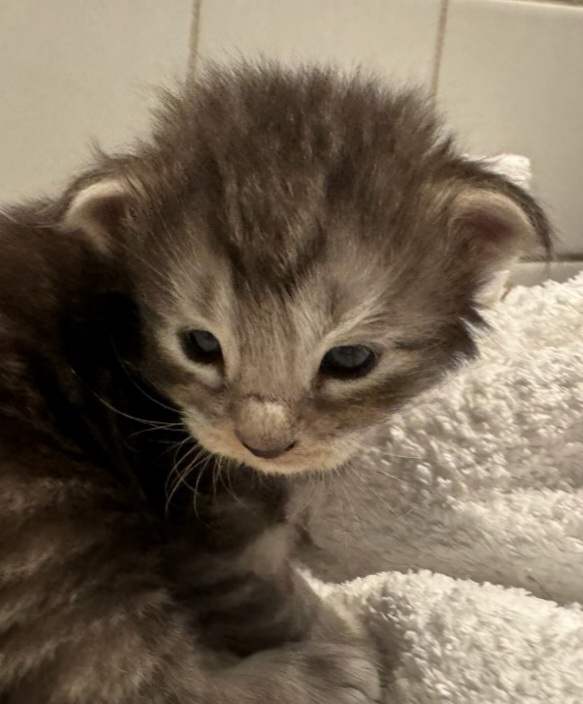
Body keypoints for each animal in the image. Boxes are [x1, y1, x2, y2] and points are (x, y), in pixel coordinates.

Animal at [0, 63, 551, 702]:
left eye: (350, 359)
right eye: (201, 345)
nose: (262, 443)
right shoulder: (211, 539)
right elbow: (272, 602)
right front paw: (348, 632)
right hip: (49, 532)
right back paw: (327, 672)